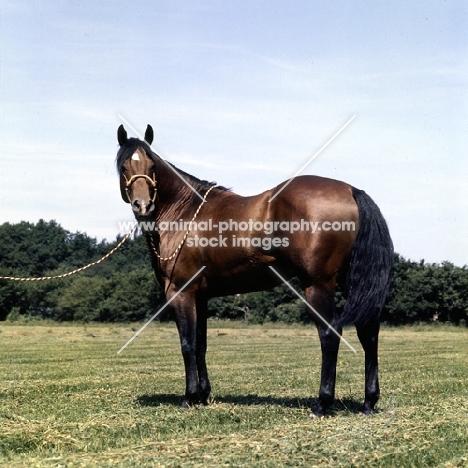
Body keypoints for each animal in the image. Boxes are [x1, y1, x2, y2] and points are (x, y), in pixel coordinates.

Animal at [116, 122, 392, 414]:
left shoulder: (181, 293)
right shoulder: (201, 296)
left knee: (330, 333)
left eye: (152, 165)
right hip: (352, 284)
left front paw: (190, 397)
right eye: (124, 167)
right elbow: (201, 344)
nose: (143, 206)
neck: (183, 213)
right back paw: (369, 401)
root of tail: (351, 190)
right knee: (368, 333)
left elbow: (187, 344)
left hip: (317, 286)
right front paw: (203, 394)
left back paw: (322, 403)